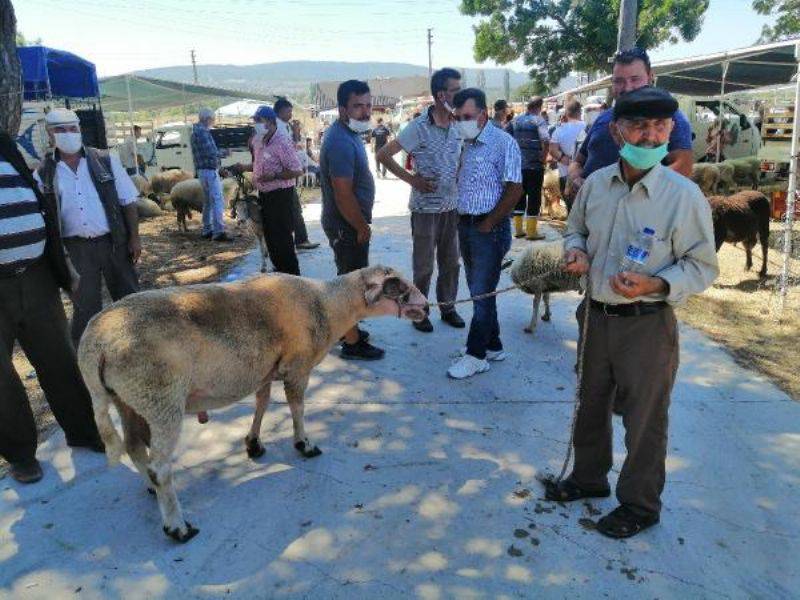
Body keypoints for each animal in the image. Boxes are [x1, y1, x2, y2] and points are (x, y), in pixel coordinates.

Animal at [79, 264, 432, 540]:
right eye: (399, 286)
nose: (428, 307)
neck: (328, 305)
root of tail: (94, 345)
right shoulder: (297, 366)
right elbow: (297, 408)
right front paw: (304, 445)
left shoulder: (266, 370)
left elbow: (262, 403)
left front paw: (253, 443)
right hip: (160, 398)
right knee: (160, 467)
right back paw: (178, 526)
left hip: (129, 399)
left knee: (135, 448)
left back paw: (154, 492)